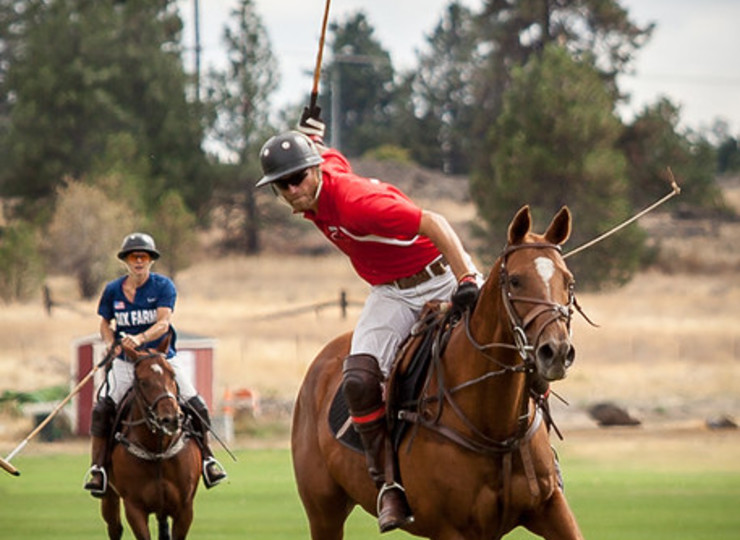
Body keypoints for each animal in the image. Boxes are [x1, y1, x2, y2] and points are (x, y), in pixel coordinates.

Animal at [100, 338, 202, 540]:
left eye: (172, 375)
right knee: (114, 527)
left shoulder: (185, 509)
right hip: (109, 496)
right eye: (142, 381)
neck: (158, 450)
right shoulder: (134, 508)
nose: (171, 419)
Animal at [292, 205, 588, 536]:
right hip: (323, 510)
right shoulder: (451, 528)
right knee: (359, 380)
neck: (495, 428)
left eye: (569, 282)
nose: (557, 351)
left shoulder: (550, 507)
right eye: (515, 280)